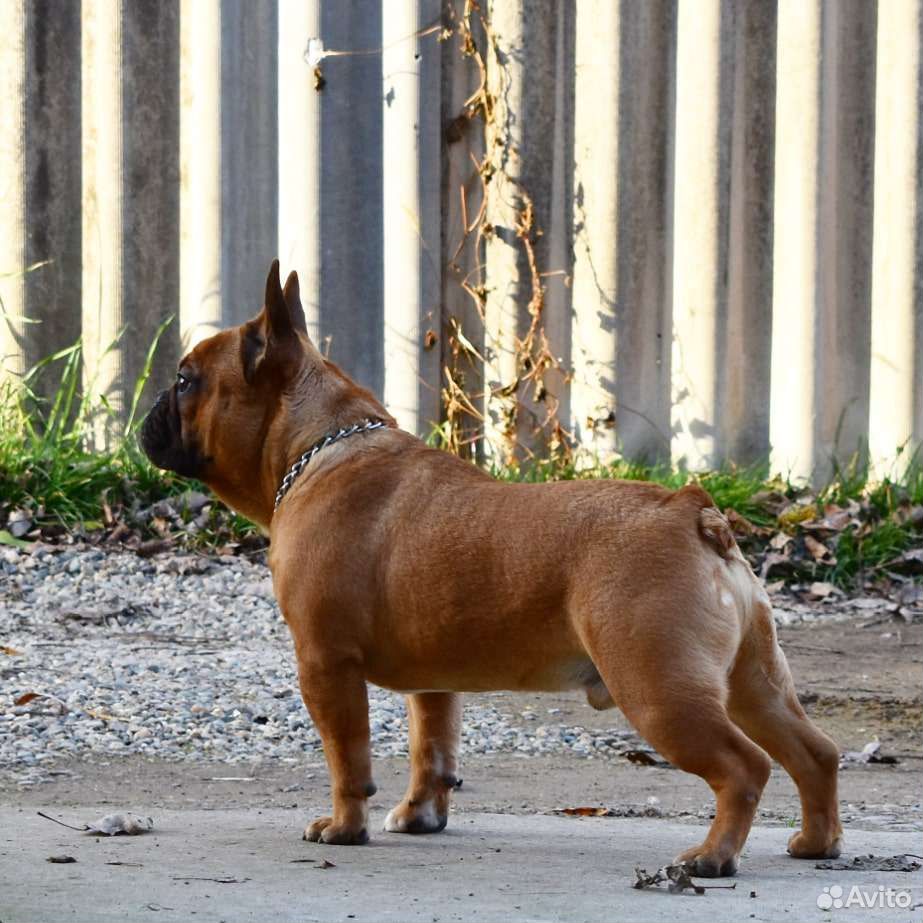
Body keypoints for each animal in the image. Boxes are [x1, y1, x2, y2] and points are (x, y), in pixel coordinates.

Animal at [141, 262, 840, 880]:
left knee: (745, 767)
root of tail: (695, 514)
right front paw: (419, 816)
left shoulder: (324, 664)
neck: (317, 448)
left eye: (185, 380)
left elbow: (348, 758)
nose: (147, 413)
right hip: (754, 682)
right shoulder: (433, 680)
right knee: (813, 753)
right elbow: (431, 747)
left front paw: (344, 827)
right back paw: (815, 843)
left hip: (659, 689)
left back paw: (712, 857)